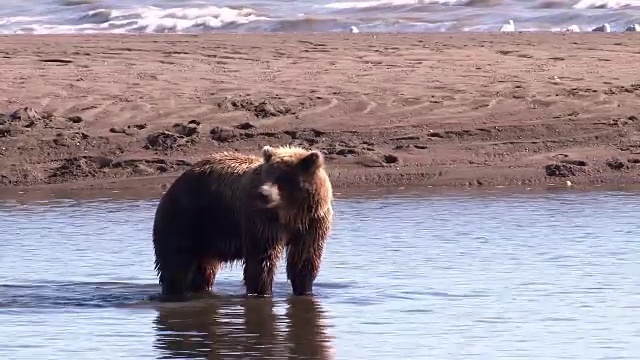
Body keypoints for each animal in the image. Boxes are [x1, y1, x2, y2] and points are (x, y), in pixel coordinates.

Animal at [152, 145, 336, 300]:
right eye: (268, 174)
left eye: (284, 177)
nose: (263, 193)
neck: (290, 214)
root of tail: (174, 184)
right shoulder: (263, 220)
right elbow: (262, 261)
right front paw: (262, 292)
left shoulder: (313, 222)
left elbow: (304, 259)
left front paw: (305, 291)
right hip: (185, 220)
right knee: (176, 263)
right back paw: (173, 292)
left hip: (207, 232)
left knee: (204, 270)